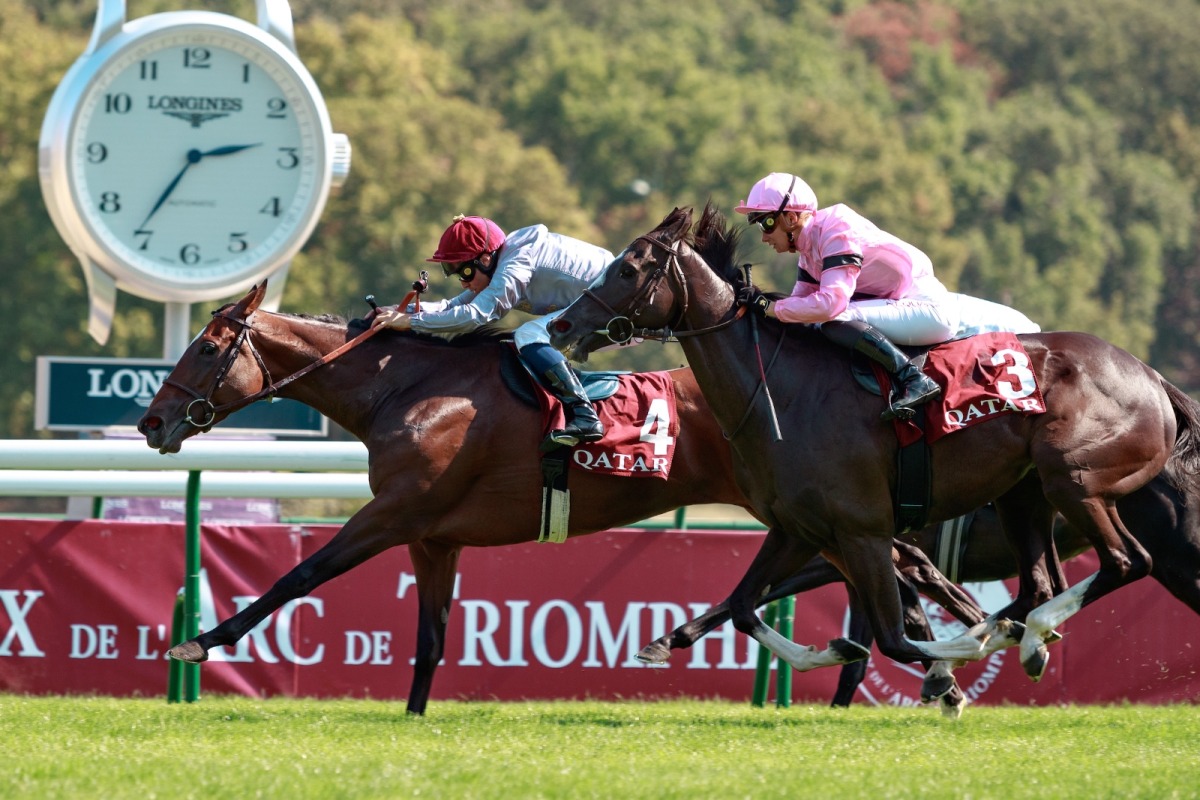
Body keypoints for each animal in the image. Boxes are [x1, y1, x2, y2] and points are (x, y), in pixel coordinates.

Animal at [136, 280, 988, 714]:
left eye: (207, 348)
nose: (151, 422)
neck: (405, 389)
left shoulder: (393, 514)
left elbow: (298, 576)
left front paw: (198, 643)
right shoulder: (433, 538)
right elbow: (431, 639)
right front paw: (413, 719)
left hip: (803, 504)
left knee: (889, 571)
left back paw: (952, 649)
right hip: (802, 508)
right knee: (878, 573)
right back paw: (942, 664)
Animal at [549, 203, 1200, 681]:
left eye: (627, 269)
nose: (560, 325)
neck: (781, 389)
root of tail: (1153, 377)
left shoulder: (862, 530)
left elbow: (898, 640)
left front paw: (955, 658)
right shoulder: (800, 529)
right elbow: (741, 605)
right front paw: (836, 650)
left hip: (1076, 482)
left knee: (1125, 561)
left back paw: (1027, 632)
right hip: (1025, 496)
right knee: (1044, 583)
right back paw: (1028, 636)